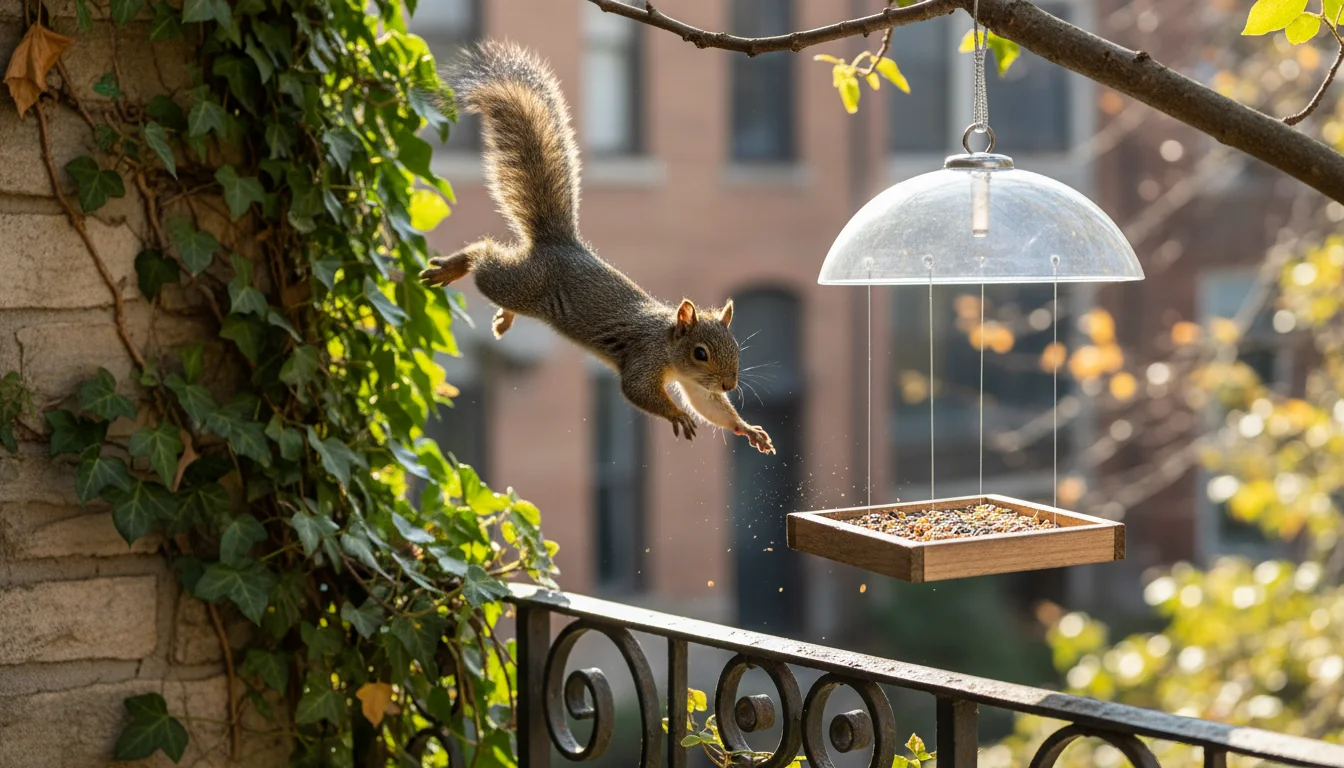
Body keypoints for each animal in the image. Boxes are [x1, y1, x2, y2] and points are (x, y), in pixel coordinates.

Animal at [419, 41, 774, 455]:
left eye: (735, 347)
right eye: (700, 352)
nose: (730, 384)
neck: (668, 343)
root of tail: (560, 243)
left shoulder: (694, 384)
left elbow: (710, 406)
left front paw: (746, 428)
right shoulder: (644, 361)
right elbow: (638, 391)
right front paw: (676, 415)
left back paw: (504, 316)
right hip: (521, 283)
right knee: (484, 258)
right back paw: (454, 266)